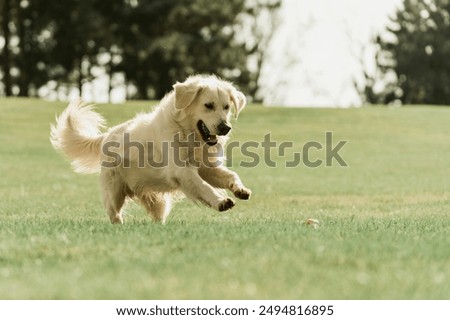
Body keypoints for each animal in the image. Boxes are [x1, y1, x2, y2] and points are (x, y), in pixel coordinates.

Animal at [51, 75, 253, 225]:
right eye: (208, 105)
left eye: (226, 107)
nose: (225, 127)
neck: (187, 133)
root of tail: (107, 134)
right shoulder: (182, 170)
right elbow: (204, 187)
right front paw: (221, 201)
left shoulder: (206, 167)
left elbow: (231, 175)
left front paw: (240, 189)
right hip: (114, 192)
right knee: (114, 214)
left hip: (157, 201)